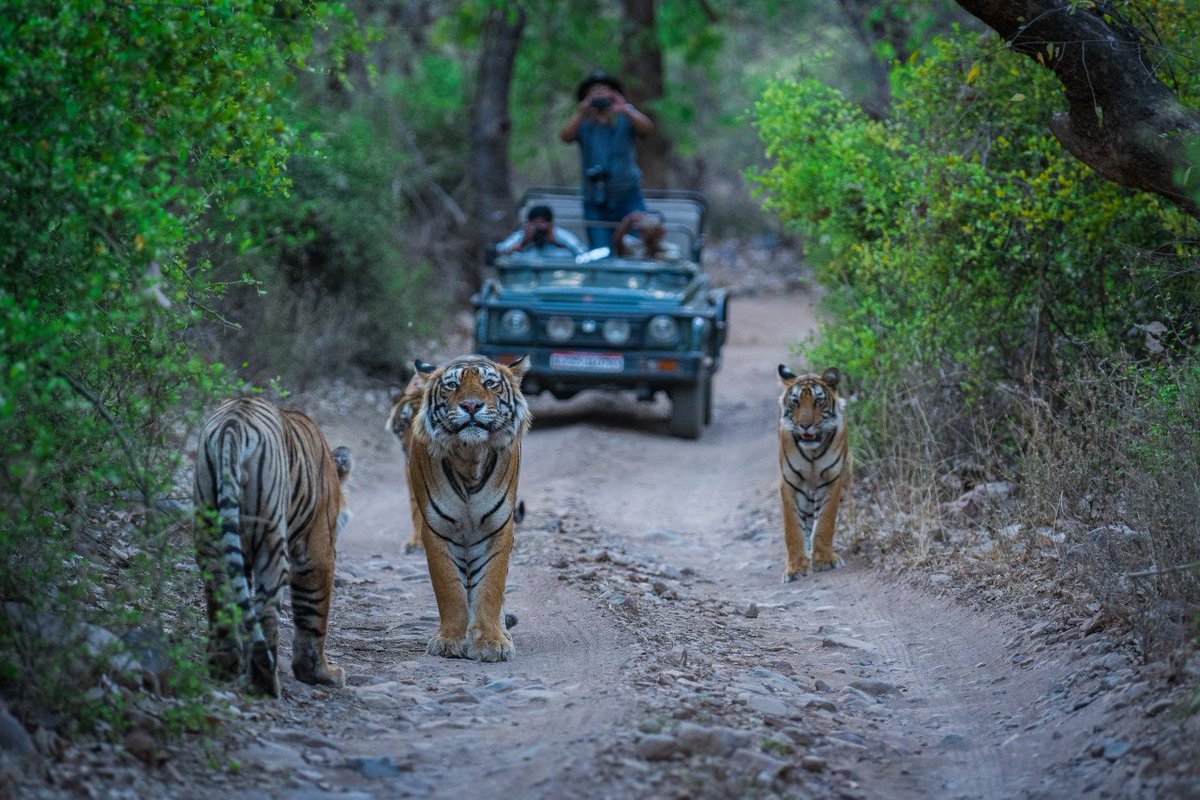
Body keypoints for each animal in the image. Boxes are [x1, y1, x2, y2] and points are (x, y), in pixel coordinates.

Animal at [193, 396, 353, 696]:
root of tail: (233, 425)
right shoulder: (318, 549)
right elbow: (314, 613)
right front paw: (319, 673)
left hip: (209, 529)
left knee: (221, 594)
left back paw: (224, 667)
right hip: (271, 540)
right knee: (266, 609)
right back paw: (264, 681)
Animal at [406, 354, 531, 662]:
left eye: (490, 384)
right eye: (452, 385)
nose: (472, 405)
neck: (469, 456)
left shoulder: (498, 528)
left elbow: (490, 587)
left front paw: (491, 642)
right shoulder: (436, 529)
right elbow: (449, 588)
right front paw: (450, 641)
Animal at [777, 365, 849, 582]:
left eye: (818, 401)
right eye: (795, 402)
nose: (805, 425)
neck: (812, 453)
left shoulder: (832, 480)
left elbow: (825, 521)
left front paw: (824, 560)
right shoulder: (789, 483)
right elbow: (792, 528)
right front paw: (794, 568)